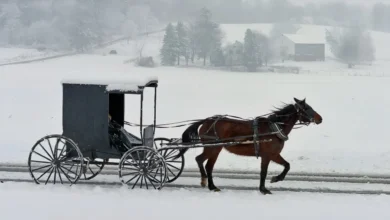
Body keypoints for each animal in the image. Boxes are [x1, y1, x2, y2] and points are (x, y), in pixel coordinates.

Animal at [174, 97, 322, 194]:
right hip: (213, 147)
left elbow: (287, 165)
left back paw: (212, 186)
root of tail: (207, 121)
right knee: (200, 160)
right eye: (307, 108)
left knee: (208, 166)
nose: (320, 118)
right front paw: (264, 188)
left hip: (216, 148)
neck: (274, 129)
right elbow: (264, 172)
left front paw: (275, 179)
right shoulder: (268, 155)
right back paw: (205, 181)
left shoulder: (274, 154)